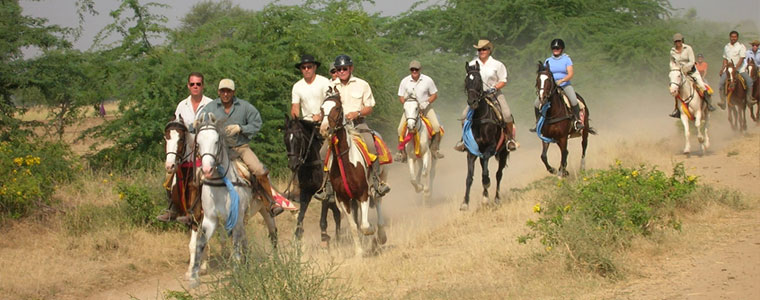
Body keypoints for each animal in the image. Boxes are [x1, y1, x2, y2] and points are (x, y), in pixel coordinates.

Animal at [188, 113, 280, 288]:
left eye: (216, 141)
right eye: (198, 142)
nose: (207, 169)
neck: (221, 185)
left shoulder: (236, 219)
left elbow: (235, 244)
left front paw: (237, 272)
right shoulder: (210, 219)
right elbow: (201, 243)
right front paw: (194, 276)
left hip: (266, 211)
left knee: (273, 234)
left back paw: (277, 261)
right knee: (245, 239)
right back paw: (247, 262)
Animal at [284, 115, 342, 244]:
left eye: (299, 138)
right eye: (285, 138)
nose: (293, 165)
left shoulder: (325, 193)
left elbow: (323, 219)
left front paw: (324, 236)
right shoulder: (305, 192)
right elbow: (300, 216)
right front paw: (297, 236)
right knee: (337, 214)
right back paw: (338, 238)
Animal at [320, 86, 388, 255]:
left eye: (337, 108)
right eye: (322, 108)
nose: (324, 129)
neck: (345, 160)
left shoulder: (363, 193)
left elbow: (364, 226)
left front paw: (372, 237)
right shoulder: (343, 199)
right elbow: (353, 227)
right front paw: (359, 252)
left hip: (380, 181)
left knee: (378, 201)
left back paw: (381, 236)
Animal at [460, 61, 512, 211]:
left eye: (478, 80)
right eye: (466, 81)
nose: (472, 102)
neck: (480, 119)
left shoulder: (491, 148)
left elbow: (485, 175)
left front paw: (486, 189)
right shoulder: (472, 152)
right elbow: (469, 177)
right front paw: (465, 203)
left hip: (503, 153)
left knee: (498, 174)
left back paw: (496, 198)